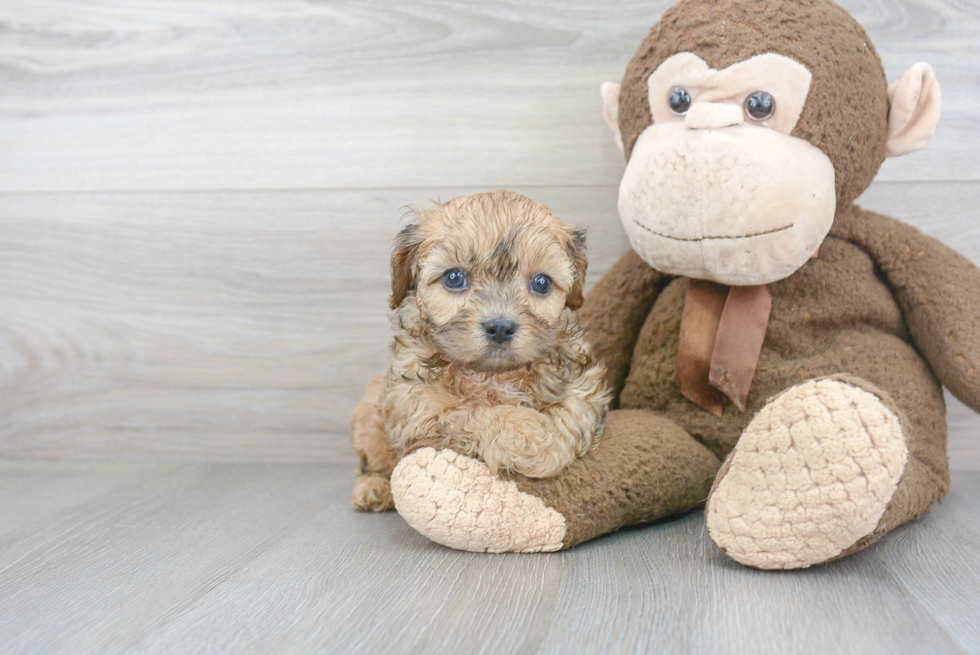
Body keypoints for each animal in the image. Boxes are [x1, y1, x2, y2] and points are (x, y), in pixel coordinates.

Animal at [352, 190, 608, 512]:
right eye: (454, 278)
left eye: (541, 283)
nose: (500, 327)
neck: (493, 375)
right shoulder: (413, 405)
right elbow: (470, 409)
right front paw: (528, 434)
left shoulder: (583, 382)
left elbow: (573, 410)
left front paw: (547, 445)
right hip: (368, 420)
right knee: (373, 463)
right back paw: (373, 488)